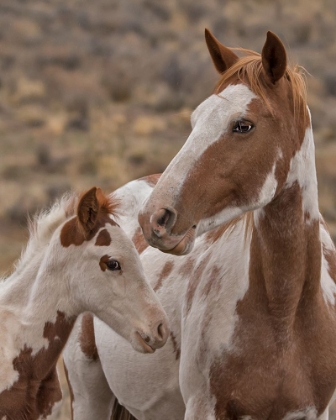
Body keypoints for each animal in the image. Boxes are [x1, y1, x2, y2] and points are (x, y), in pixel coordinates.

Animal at [63, 31, 336, 418]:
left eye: (243, 125)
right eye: (195, 119)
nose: (155, 217)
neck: (286, 313)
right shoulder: (204, 407)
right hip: (89, 396)